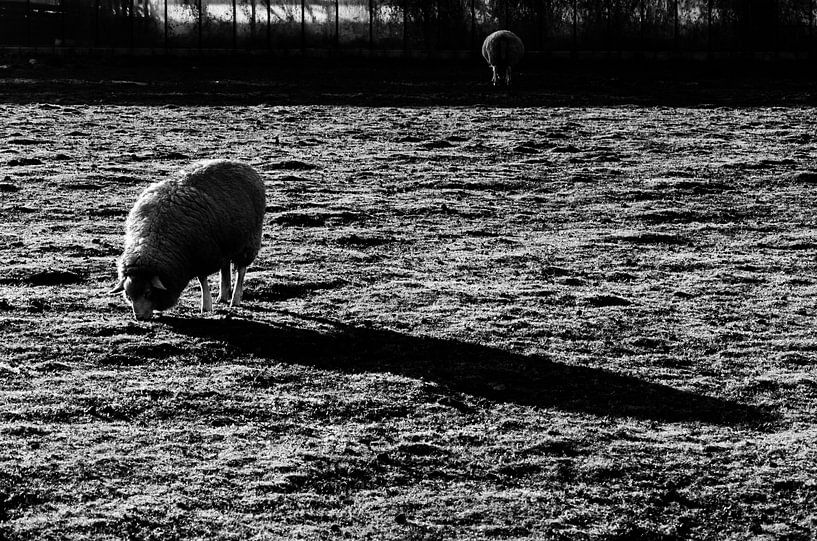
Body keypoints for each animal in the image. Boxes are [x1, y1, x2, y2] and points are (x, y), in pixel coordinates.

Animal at [110, 159, 264, 320]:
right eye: (128, 294)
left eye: (148, 292)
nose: (139, 317)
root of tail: (240, 164)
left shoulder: (202, 255)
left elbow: (202, 280)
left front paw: (206, 306)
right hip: (226, 243)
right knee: (225, 267)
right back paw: (223, 296)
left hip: (249, 242)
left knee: (241, 270)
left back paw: (235, 299)